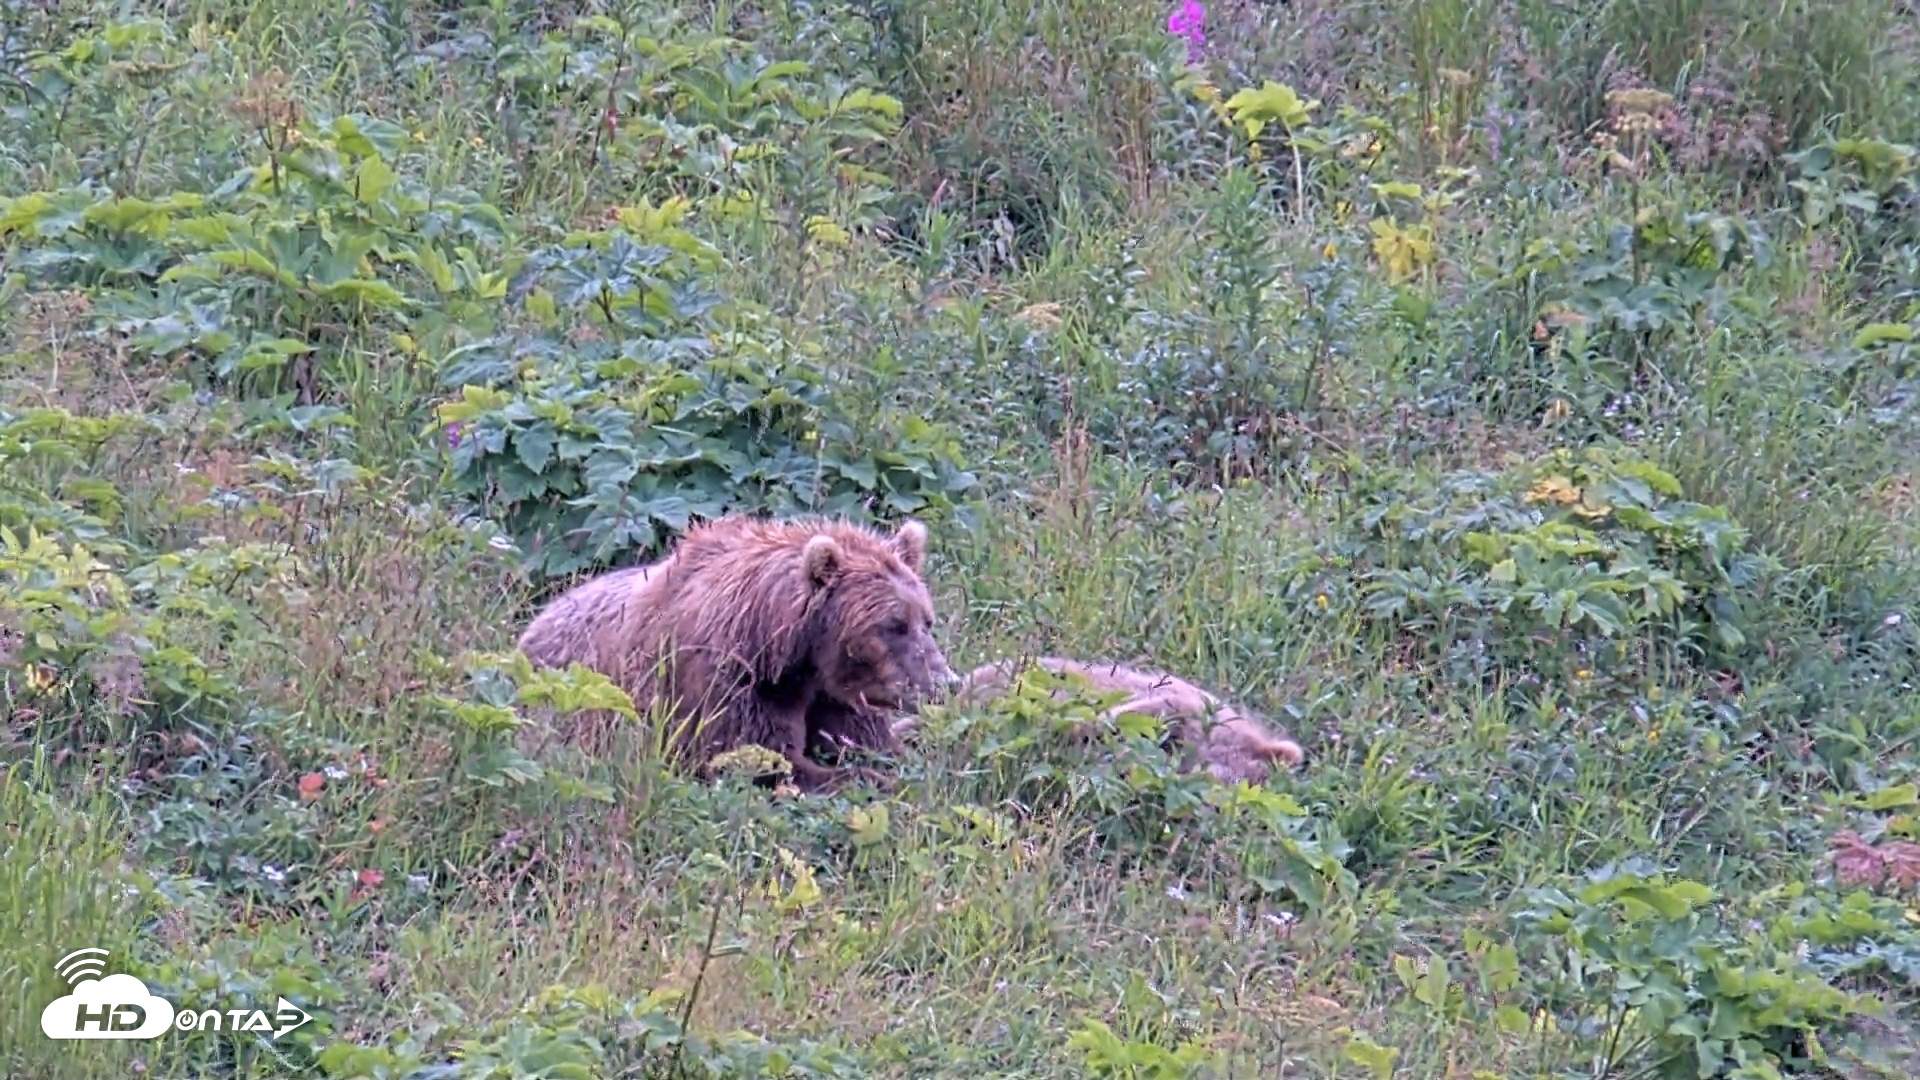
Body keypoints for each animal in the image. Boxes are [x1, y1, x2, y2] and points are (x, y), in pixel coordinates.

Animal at [514, 514, 960, 794]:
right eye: (892, 625)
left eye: (926, 620)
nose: (945, 682)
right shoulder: (726, 682)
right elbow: (761, 759)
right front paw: (875, 781)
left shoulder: (837, 695)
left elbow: (869, 741)